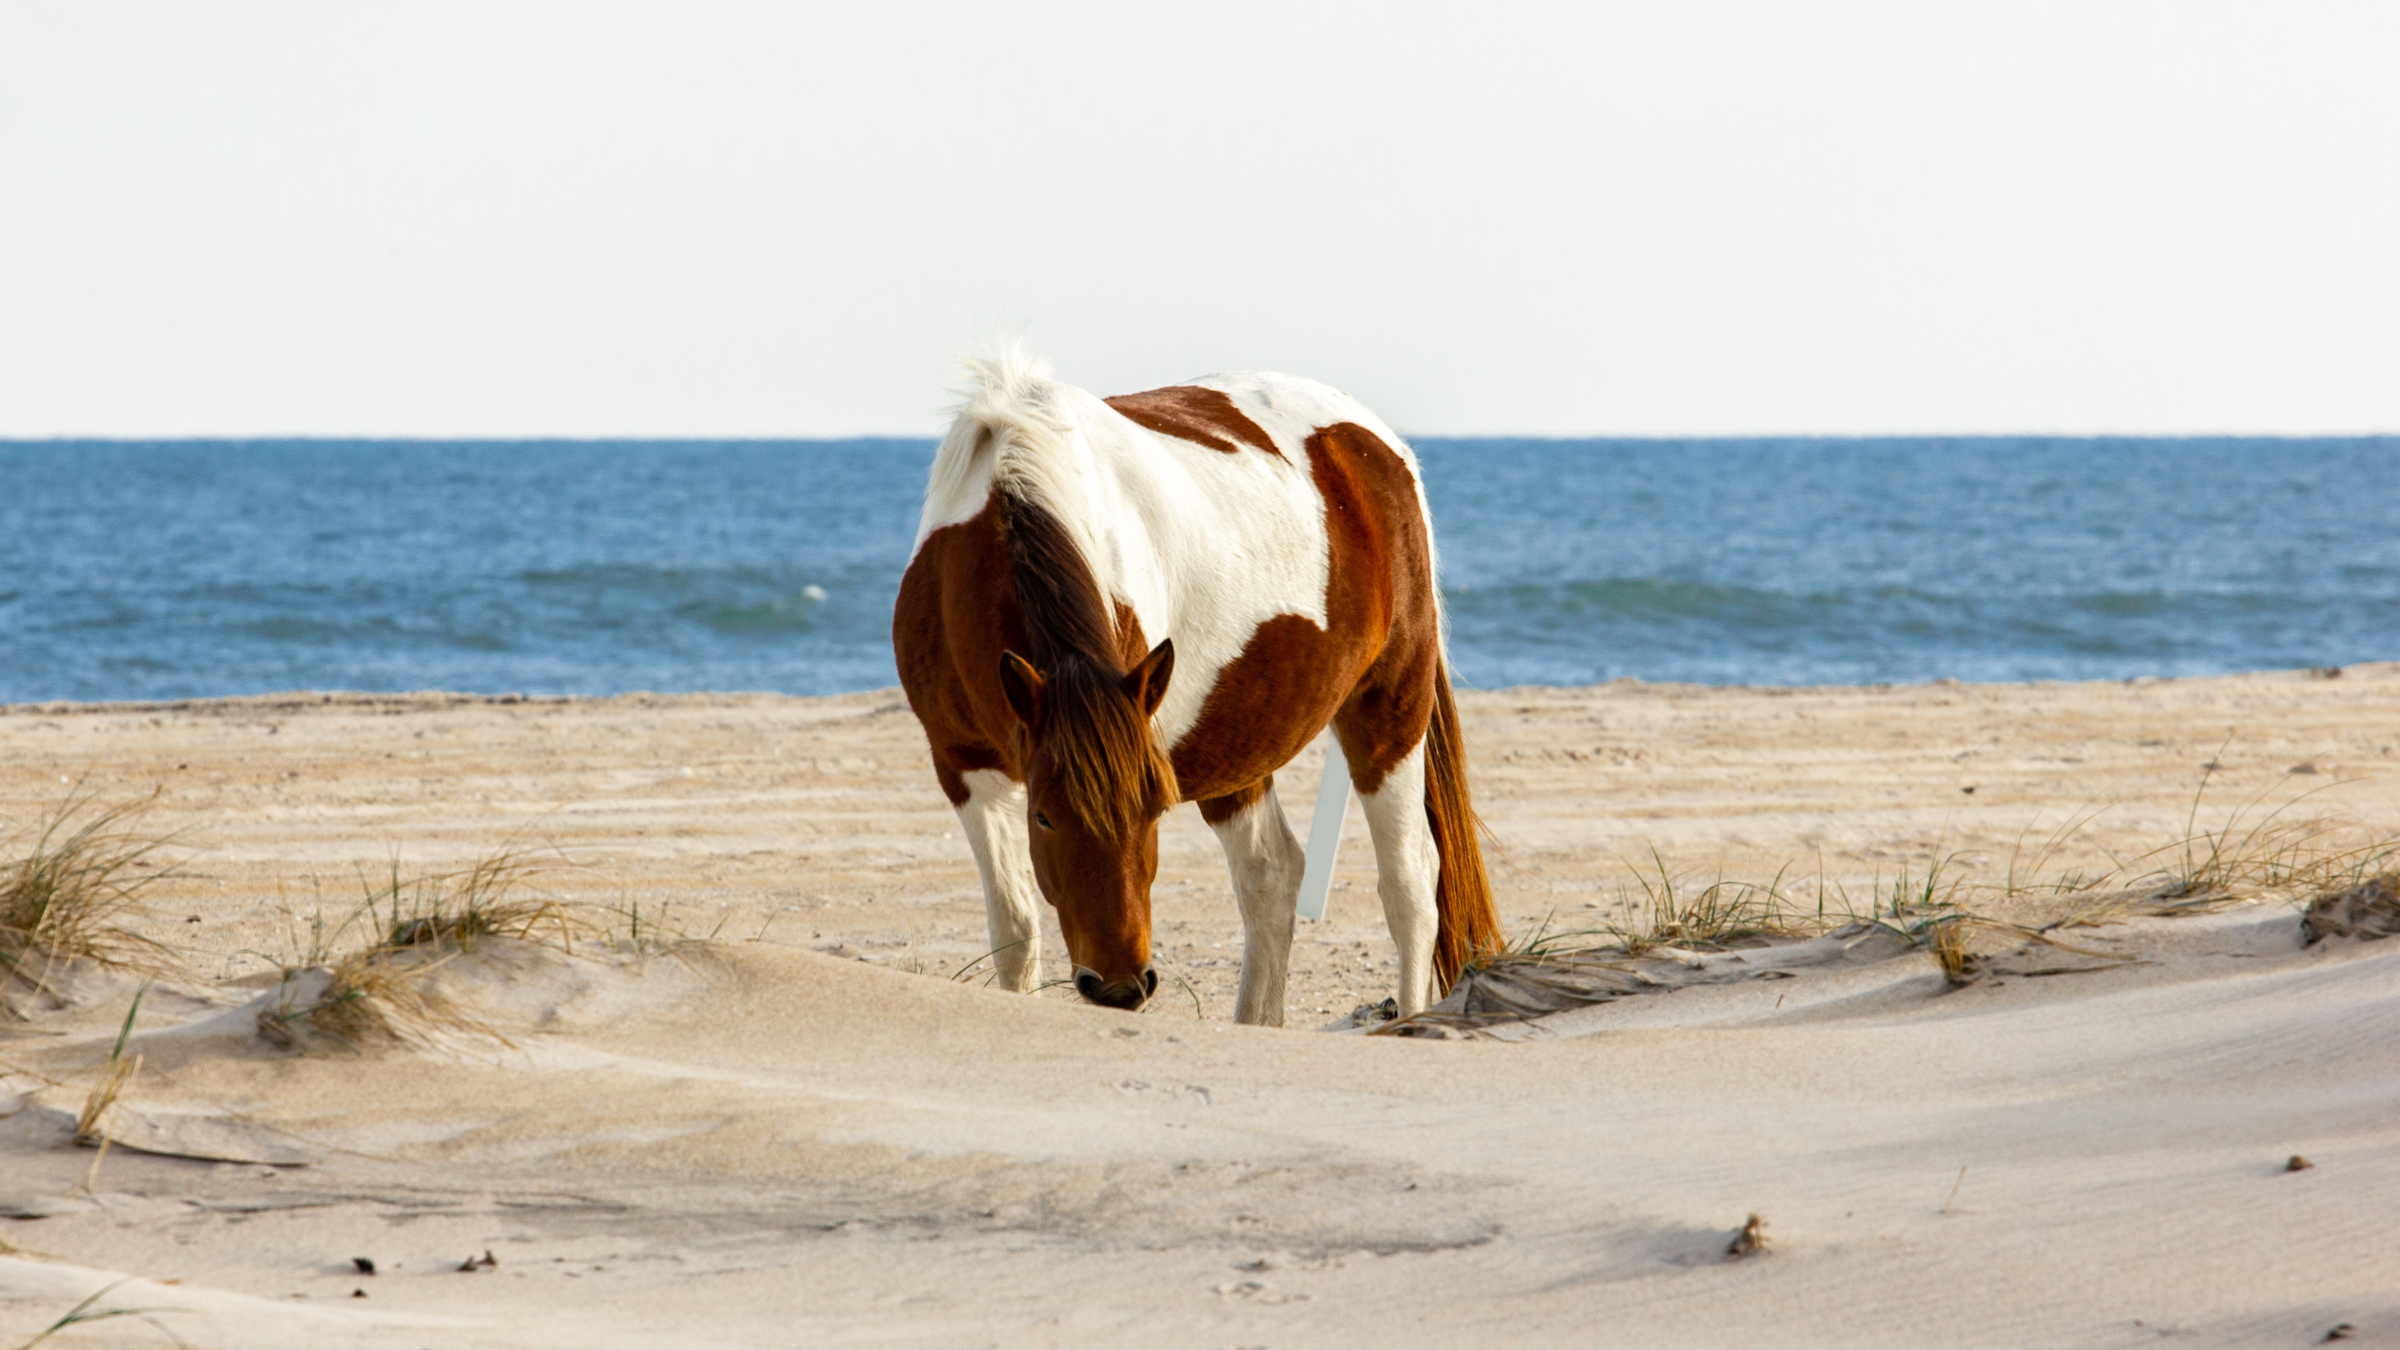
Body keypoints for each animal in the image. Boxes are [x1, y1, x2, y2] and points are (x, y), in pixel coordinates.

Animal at [892, 346, 1500, 1025]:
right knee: (1272, 876)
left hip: (1390, 708)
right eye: (1044, 818)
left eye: (1155, 810)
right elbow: (1016, 933)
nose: (1120, 987)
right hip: (1236, 744)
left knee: (1411, 882)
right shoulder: (963, 764)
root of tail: (1374, 439)